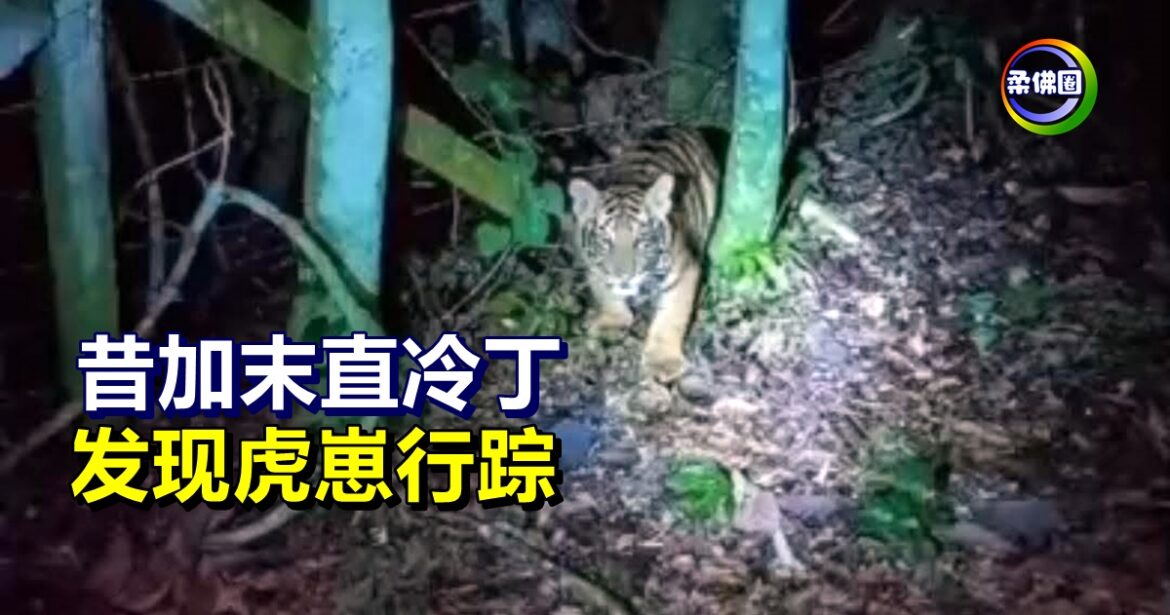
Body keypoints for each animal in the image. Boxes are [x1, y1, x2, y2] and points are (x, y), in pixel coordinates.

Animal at [566, 126, 720, 383]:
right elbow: (605, 295)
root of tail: (676, 126)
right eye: (606, 241)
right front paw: (612, 322)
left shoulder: (685, 270)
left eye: (641, 241)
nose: (624, 275)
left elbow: (672, 317)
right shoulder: (593, 265)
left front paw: (663, 361)